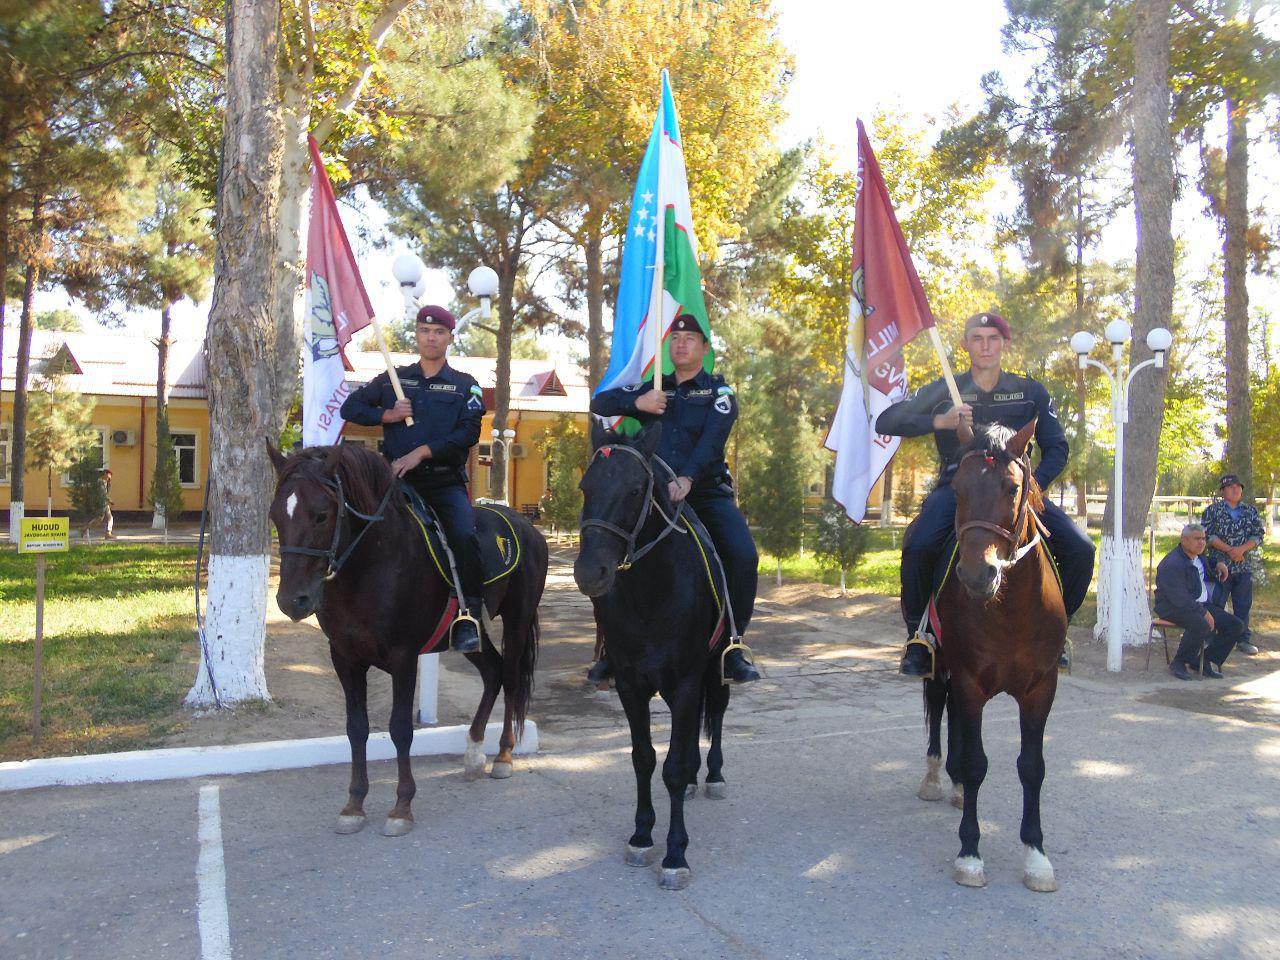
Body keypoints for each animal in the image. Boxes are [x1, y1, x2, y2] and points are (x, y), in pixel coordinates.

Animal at [267, 445, 547, 839]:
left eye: (321, 515)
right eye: (275, 515)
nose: (293, 601)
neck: (369, 565)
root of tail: (527, 527)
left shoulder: (403, 657)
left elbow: (400, 728)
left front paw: (402, 806)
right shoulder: (344, 657)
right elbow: (357, 729)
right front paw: (354, 804)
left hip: (517, 619)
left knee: (509, 678)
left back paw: (504, 756)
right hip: (469, 633)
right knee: (492, 672)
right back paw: (474, 751)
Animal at [576, 424, 737, 890]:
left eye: (634, 490)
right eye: (585, 487)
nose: (589, 572)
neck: (652, 594)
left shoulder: (685, 683)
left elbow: (674, 768)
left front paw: (675, 854)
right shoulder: (631, 685)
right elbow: (644, 759)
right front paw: (642, 835)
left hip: (716, 669)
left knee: (716, 711)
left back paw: (713, 774)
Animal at [916, 419, 1064, 896]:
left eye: (1013, 487)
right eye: (958, 487)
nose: (978, 575)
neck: (1010, 609)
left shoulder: (1041, 689)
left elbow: (1032, 767)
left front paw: (1036, 857)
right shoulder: (969, 680)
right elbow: (978, 763)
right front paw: (970, 854)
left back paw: (957, 785)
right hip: (939, 665)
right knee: (939, 705)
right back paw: (936, 776)